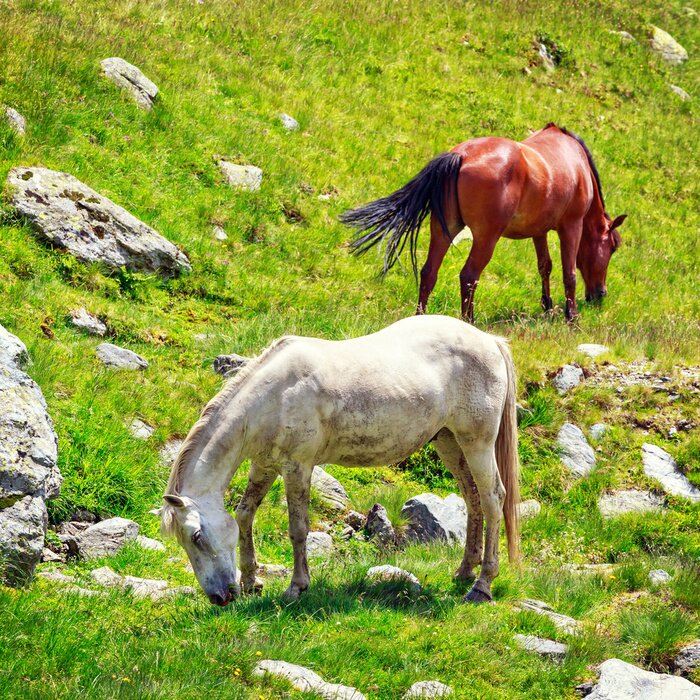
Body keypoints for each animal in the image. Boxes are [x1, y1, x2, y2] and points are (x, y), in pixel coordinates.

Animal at [159, 315, 520, 606]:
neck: (272, 397)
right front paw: (251, 581)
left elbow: (298, 529)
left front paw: (296, 588)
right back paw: (464, 571)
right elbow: (245, 514)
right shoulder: (265, 465)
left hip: (477, 443)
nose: (220, 597)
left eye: (196, 536)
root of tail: (489, 340)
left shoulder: (297, 467)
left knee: (493, 499)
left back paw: (481, 586)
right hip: (449, 442)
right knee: (473, 498)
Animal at [341, 123, 627, 322]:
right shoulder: (571, 226)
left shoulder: (539, 230)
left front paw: (547, 305)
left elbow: (545, 266)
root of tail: (461, 155)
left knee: (429, 272)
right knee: (469, 276)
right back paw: (469, 320)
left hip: (443, 230)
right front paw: (571, 316)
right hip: (486, 237)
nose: (600, 295)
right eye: (612, 248)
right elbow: (569, 273)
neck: (576, 161)